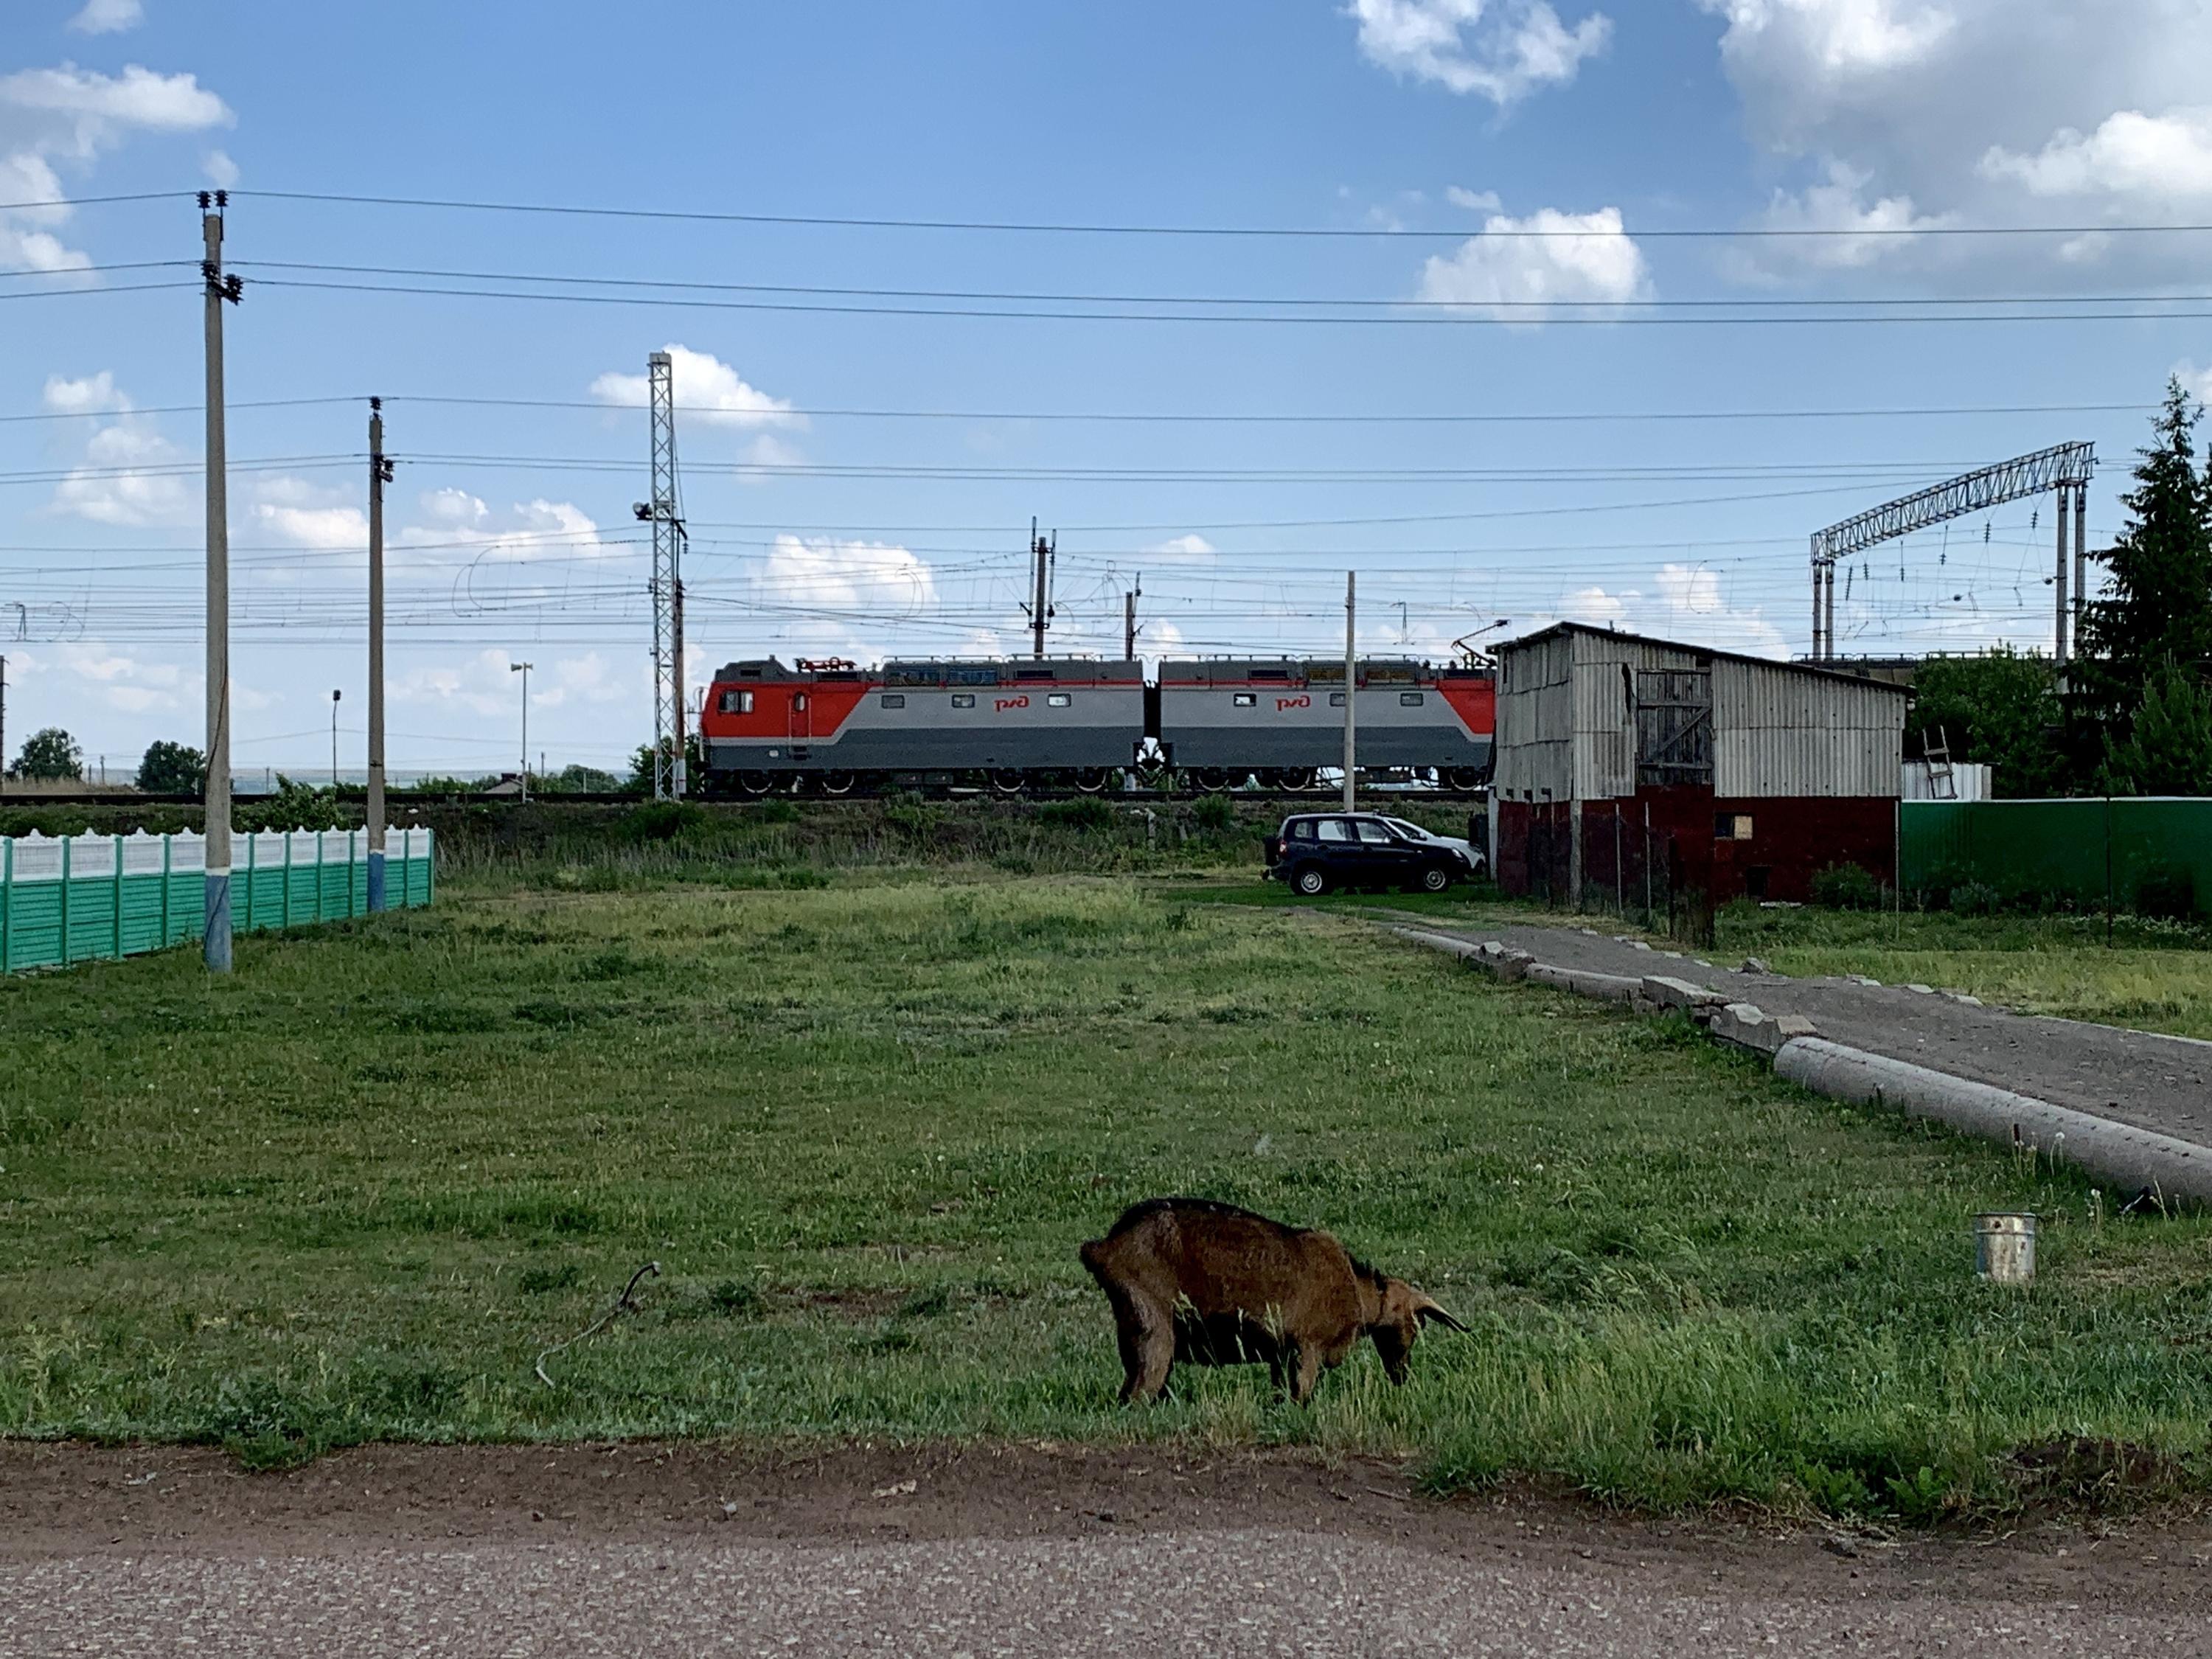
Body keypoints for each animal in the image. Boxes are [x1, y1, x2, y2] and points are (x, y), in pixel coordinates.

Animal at [1075, 1203, 1469, 1407]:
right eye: (1416, 1324)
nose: (1402, 1374)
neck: (1359, 1291)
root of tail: (1104, 1247)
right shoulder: (1309, 1348)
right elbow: (1301, 1395)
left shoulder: (1282, 1354)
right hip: (1153, 1323)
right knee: (1137, 1394)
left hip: (1132, 1328)